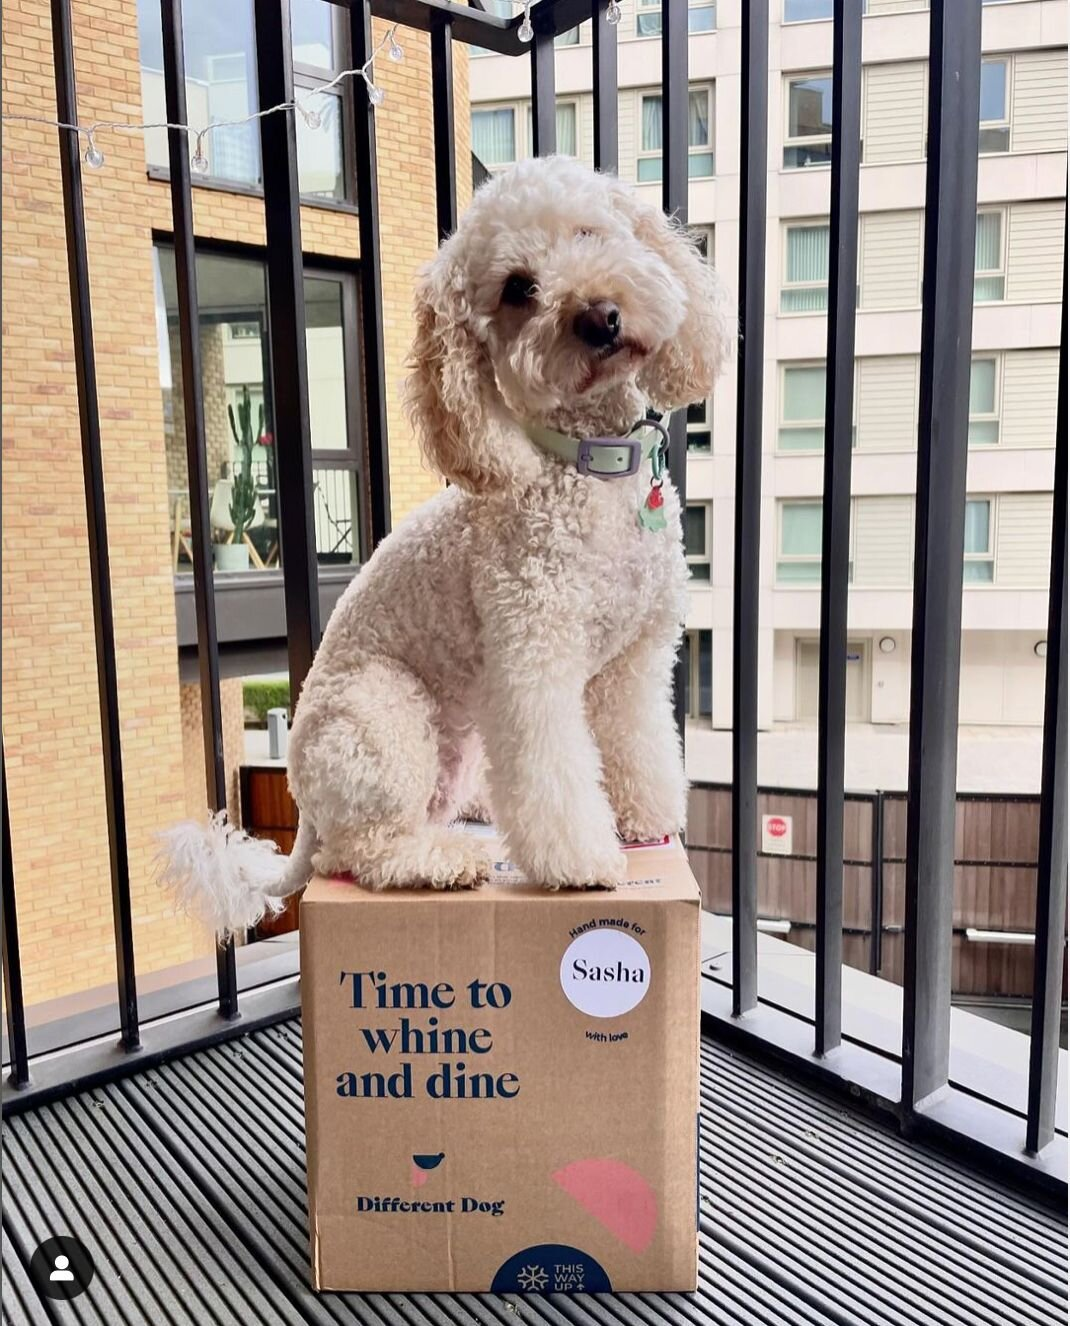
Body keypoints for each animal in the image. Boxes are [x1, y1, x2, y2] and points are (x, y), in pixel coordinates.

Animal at [155, 155, 731, 933]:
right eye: (519, 289)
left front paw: (645, 816)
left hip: (452, 745)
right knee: (363, 853)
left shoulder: (635, 663)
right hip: (383, 713)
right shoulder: (532, 659)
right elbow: (552, 771)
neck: (588, 464)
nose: (598, 316)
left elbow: (637, 742)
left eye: (589, 233)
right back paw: (441, 860)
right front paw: (581, 860)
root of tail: (304, 811)